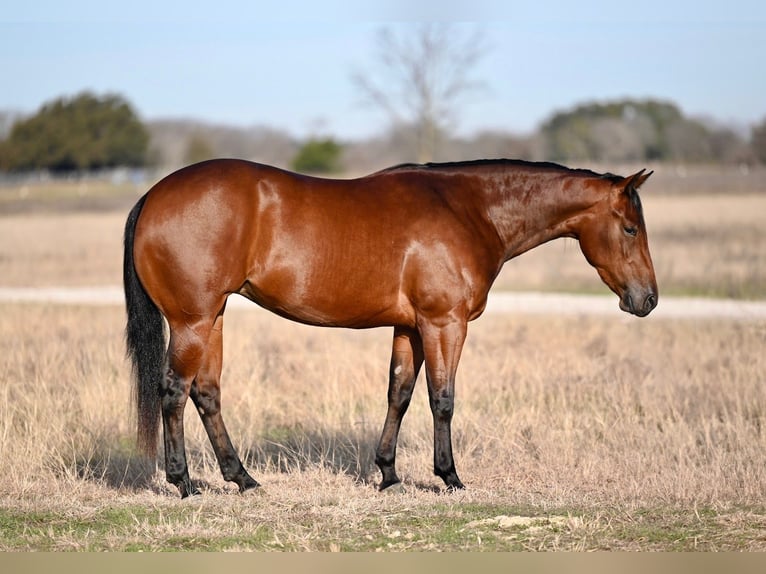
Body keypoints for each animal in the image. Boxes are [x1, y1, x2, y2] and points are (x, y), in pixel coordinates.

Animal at [124, 159, 660, 500]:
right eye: (630, 228)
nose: (648, 300)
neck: (468, 210)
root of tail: (153, 194)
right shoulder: (444, 323)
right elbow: (442, 399)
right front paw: (450, 478)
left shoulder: (410, 328)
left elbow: (398, 393)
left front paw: (388, 474)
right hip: (192, 321)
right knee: (173, 390)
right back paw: (183, 483)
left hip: (213, 318)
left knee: (206, 393)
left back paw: (243, 479)